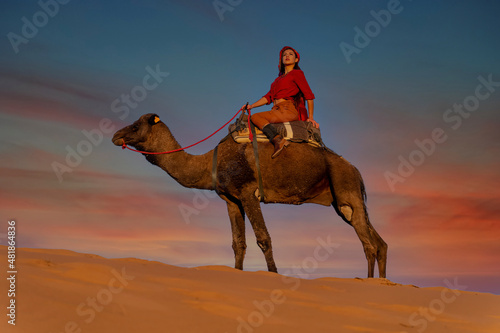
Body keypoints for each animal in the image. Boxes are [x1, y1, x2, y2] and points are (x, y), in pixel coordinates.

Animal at [111, 113, 388, 276]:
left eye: (135, 126)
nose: (115, 136)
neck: (209, 163)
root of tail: (356, 170)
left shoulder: (247, 193)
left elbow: (264, 239)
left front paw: (274, 275)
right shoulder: (231, 199)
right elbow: (238, 243)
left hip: (345, 188)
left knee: (368, 243)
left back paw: (368, 281)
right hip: (342, 199)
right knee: (379, 242)